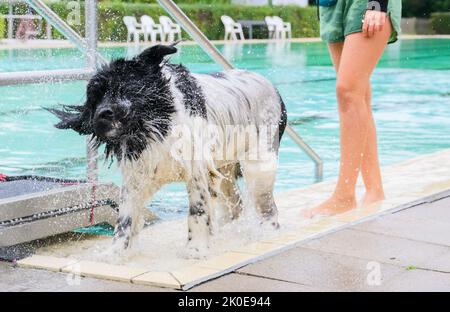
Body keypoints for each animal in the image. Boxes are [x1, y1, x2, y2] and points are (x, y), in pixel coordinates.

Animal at [48, 44, 288, 256]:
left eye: (125, 87)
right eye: (95, 97)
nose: (101, 114)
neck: (155, 125)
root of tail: (274, 88)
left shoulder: (196, 171)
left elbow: (197, 211)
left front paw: (196, 249)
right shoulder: (137, 176)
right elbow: (125, 218)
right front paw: (115, 253)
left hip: (259, 165)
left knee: (267, 207)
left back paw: (266, 232)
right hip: (224, 168)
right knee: (235, 206)